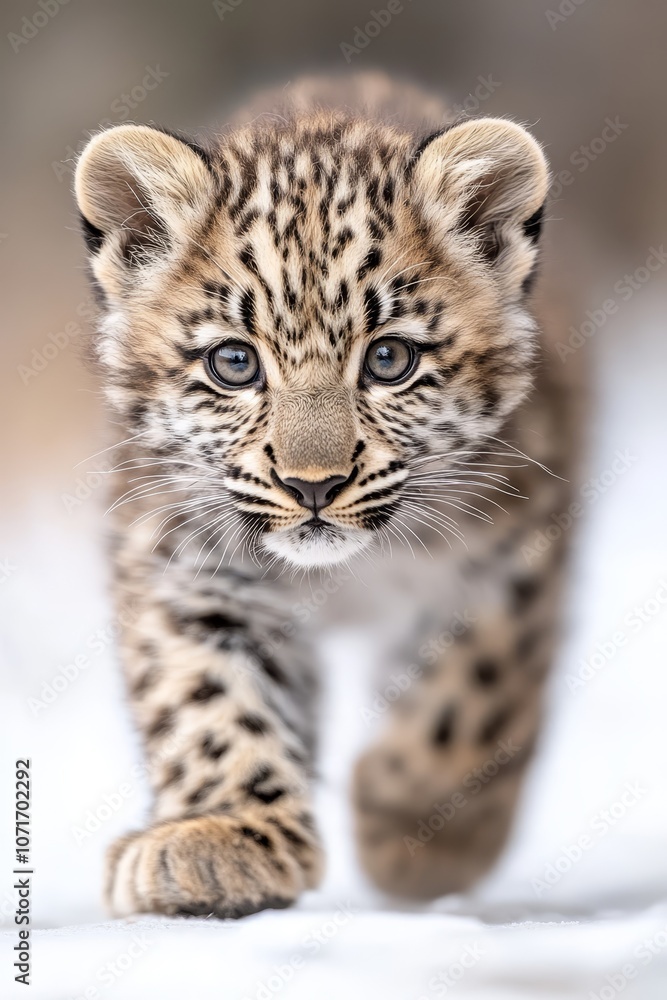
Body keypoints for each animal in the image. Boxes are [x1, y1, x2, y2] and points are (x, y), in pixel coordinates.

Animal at [73, 73, 580, 918]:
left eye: (389, 359)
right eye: (234, 364)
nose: (312, 485)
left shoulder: (512, 546)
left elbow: (471, 690)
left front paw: (415, 833)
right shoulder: (182, 560)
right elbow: (205, 698)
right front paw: (217, 838)